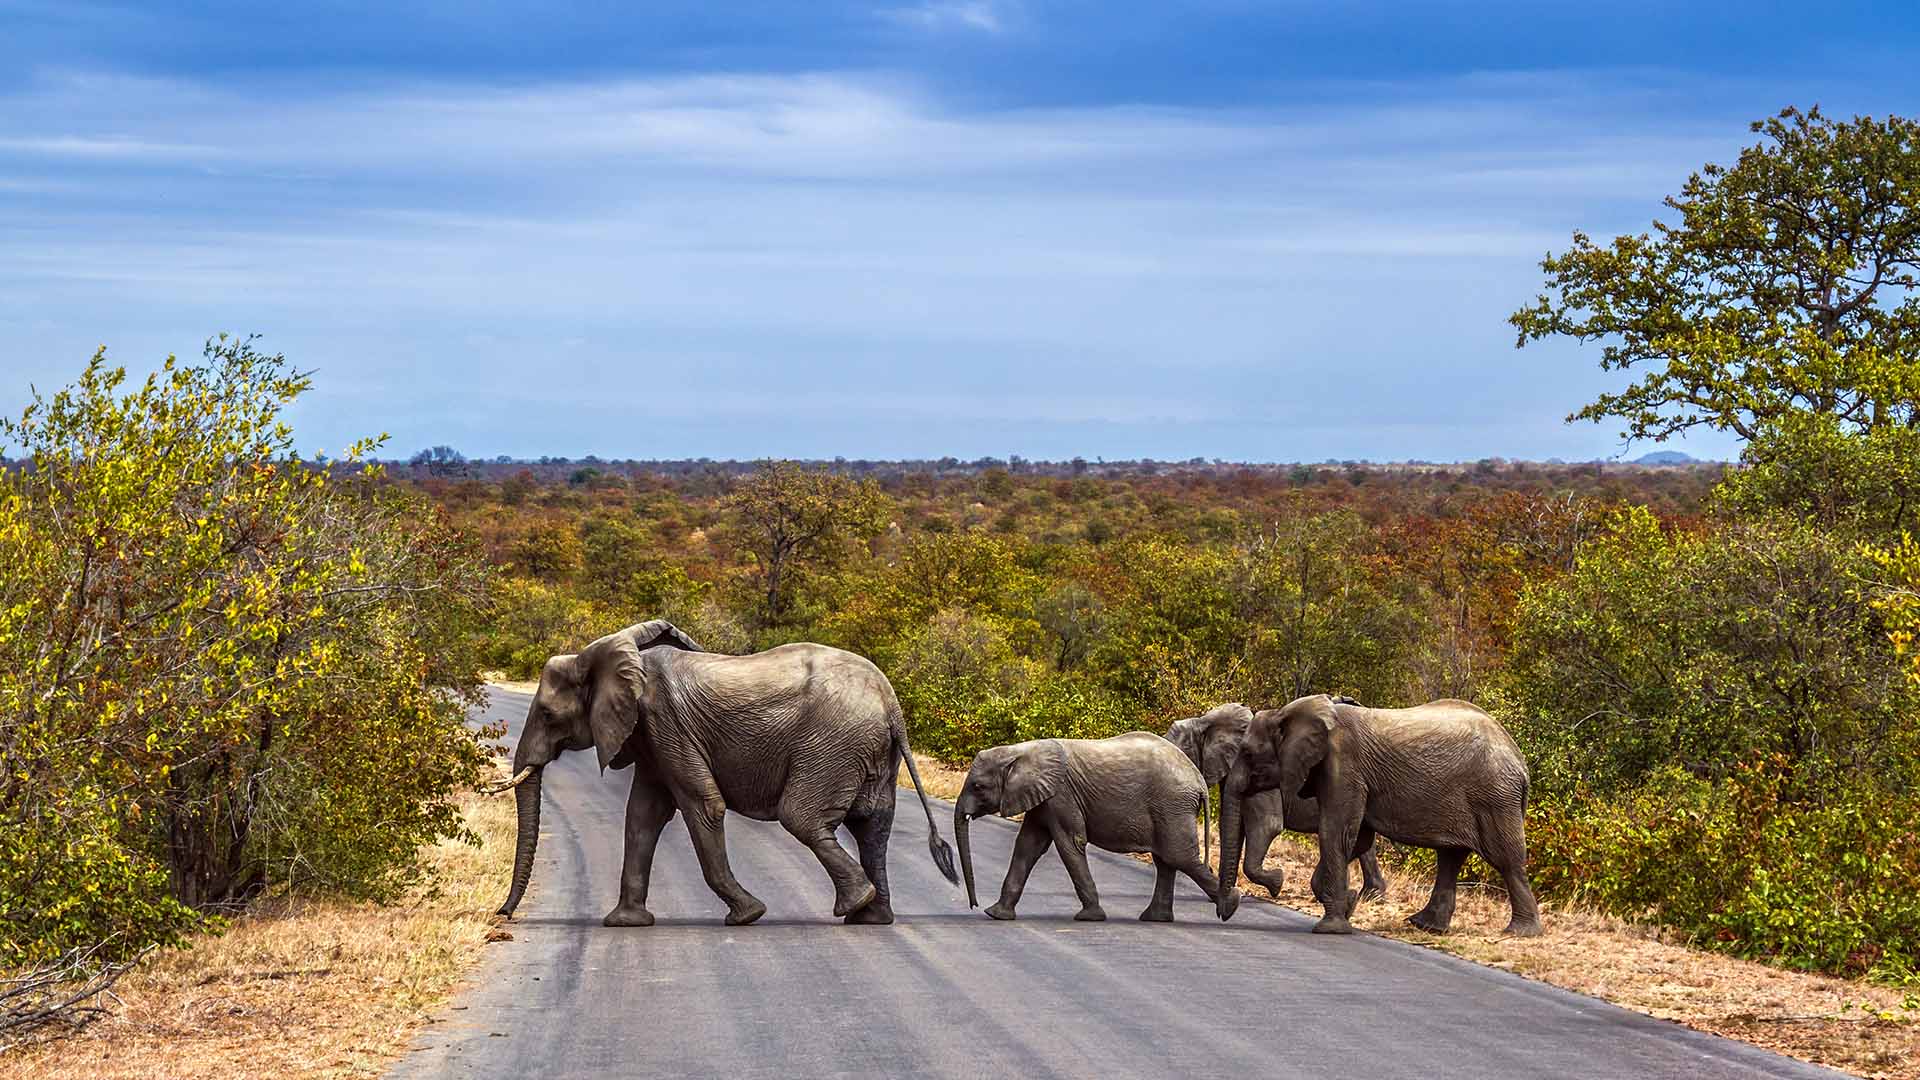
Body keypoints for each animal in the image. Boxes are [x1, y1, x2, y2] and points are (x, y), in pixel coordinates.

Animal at [491, 620, 958, 927]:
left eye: (548, 715)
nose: (503, 916)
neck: (607, 654)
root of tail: (891, 703)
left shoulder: (666, 723)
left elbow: (702, 806)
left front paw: (748, 916)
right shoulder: (653, 738)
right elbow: (643, 815)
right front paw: (625, 923)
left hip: (833, 743)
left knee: (802, 818)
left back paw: (853, 905)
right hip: (870, 752)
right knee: (872, 824)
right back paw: (871, 916)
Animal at [952, 732, 1239, 923]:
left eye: (978, 786)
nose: (974, 905)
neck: (1020, 751)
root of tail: (1198, 779)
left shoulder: (1061, 795)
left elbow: (1069, 843)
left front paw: (1090, 917)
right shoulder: (1044, 797)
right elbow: (1028, 846)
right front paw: (996, 914)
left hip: (1172, 805)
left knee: (1178, 856)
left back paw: (1230, 906)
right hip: (1169, 810)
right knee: (1166, 861)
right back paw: (1154, 918)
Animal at [1215, 694, 1542, 937]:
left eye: (1247, 753)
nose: (1228, 908)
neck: (1289, 713)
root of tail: (1520, 759)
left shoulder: (1343, 764)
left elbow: (1336, 831)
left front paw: (1331, 927)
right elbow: (1355, 838)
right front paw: (1347, 903)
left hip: (1494, 797)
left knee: (1505, 859)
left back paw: (1519, 932)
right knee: (1450, 857)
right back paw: (1425, 925)